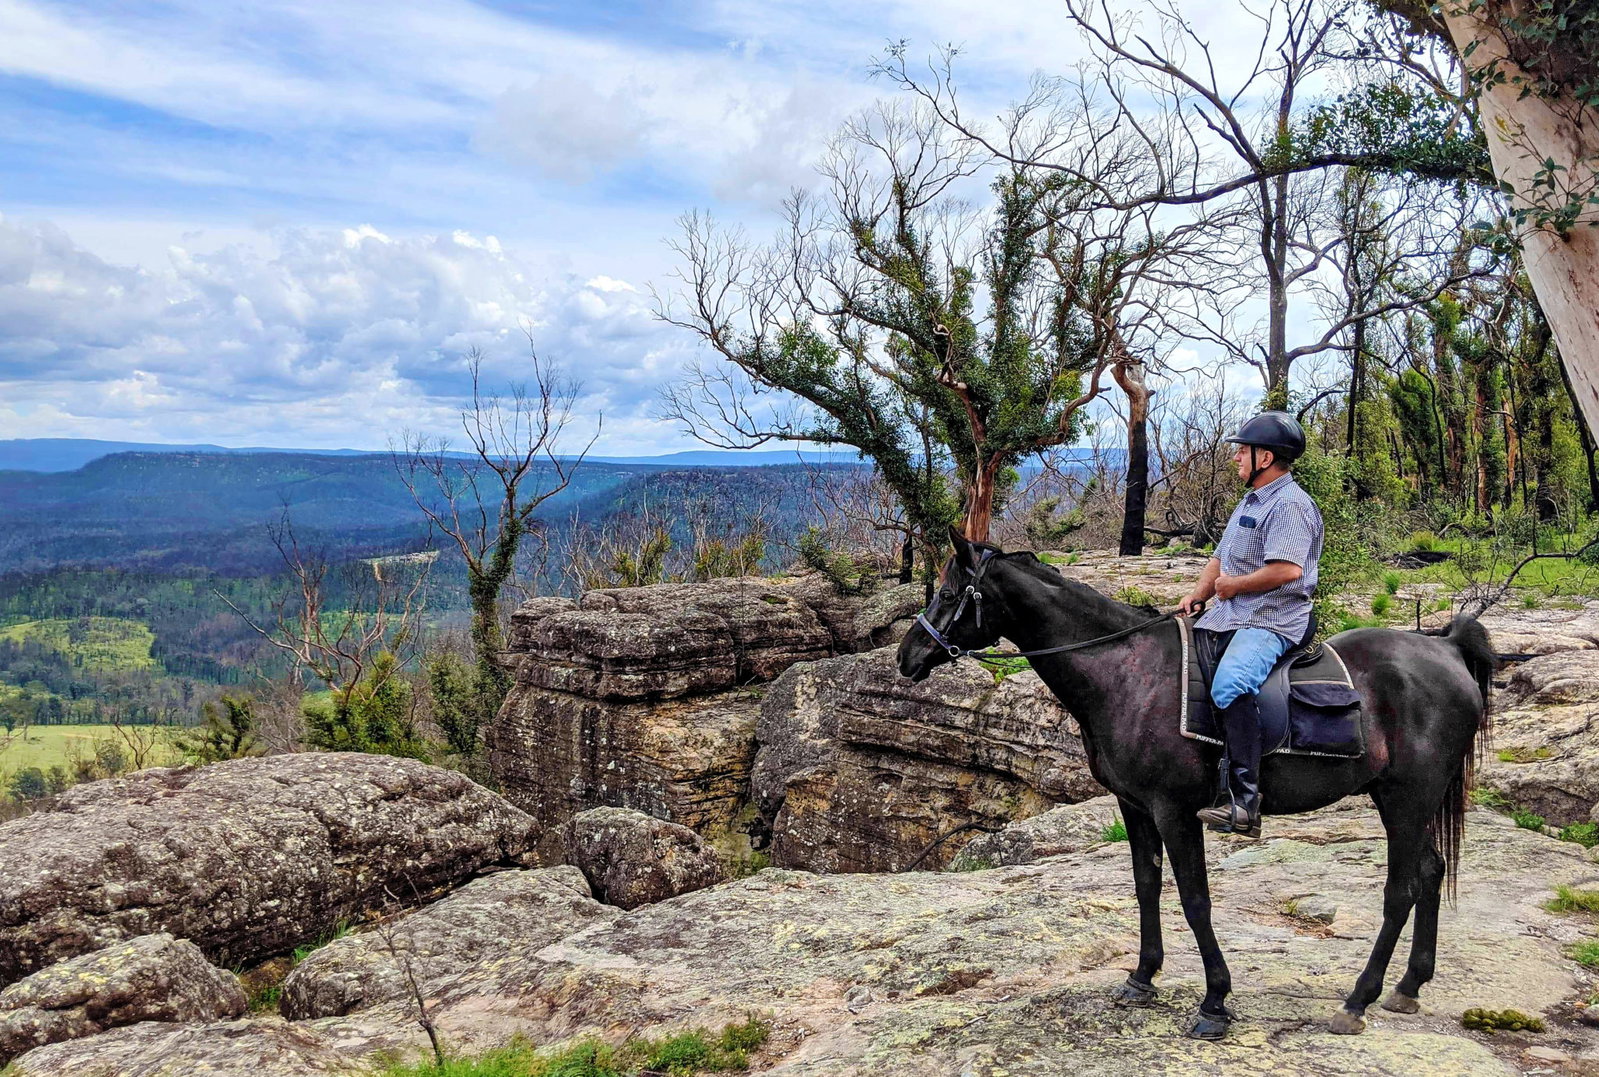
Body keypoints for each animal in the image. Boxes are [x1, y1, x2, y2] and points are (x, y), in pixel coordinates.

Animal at [896, 529, 1495, 1040]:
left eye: (947, 592)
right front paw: (1142, 978)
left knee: (1402, 890)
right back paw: (1408, 986)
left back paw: (1357, 1001)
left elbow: (1195, 899)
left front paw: (1214, 1002)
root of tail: (1446, 648)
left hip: (1405, 798)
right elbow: (1146, 885)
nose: (907, 656)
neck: (1127, 672)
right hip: (1406, 800)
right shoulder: (1134, 806)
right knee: (1431, 872)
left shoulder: (1174, 810)